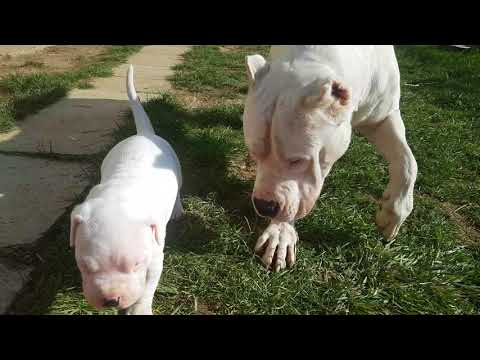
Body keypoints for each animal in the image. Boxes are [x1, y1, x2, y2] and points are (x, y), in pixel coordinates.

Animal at [70, 64, 184, 316]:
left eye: (136, 264)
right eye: (84, 265)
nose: (111, 300)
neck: (120, 193)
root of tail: (144, 135)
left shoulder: (155, 257)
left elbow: (148, 287)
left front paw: (139, 309)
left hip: (177, 170)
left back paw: (178, 209)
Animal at [244, 45, 416, 270]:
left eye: (297, 161)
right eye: (253, 153)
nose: (265, 206)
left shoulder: (384, 116)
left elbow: (408, 162)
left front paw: (395, 212)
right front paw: (280, 232)